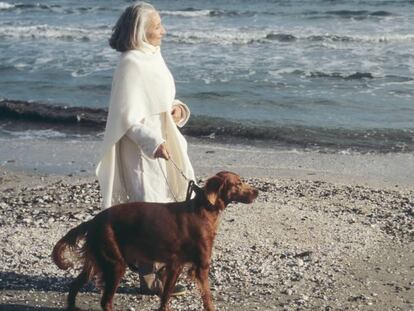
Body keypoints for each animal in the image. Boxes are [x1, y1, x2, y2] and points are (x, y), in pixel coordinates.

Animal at [52, 172, 258, 310]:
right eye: (238, 183)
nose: (256, 192)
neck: (205, 209)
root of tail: (93, 221)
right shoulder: (201, 266)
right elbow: (207, 297)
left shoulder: (176, 265)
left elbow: (166, 295)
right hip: (115, 263)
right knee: (105, 301)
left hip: (96, 262)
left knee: (75, 285)